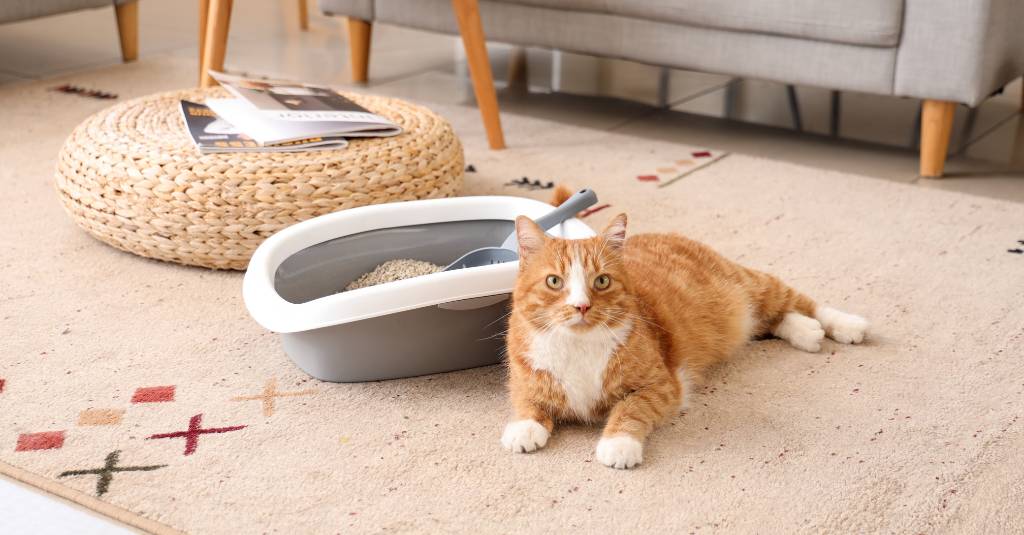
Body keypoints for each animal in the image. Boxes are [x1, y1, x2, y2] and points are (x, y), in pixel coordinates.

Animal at [499, 197, 868, 469]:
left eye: (601, 281)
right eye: (554, 281)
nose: (581, 306)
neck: (578, 345)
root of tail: (669, 233)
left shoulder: (661, 386)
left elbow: (630, 409)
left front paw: (619, 444)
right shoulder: (524, 377)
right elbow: (527, 401)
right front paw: (526, 427)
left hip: (753, 286)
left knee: (799, 302)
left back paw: (845, 325)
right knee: (773, 321)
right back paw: (806, 331)